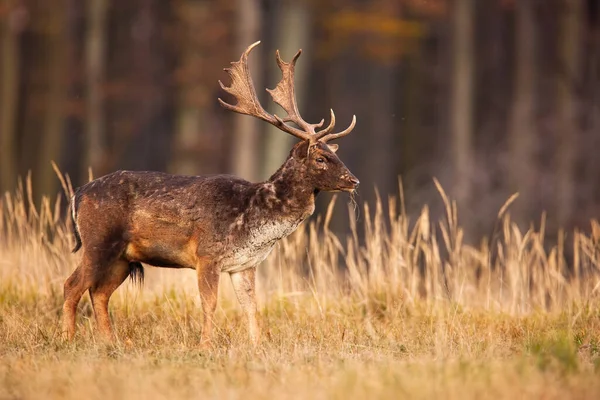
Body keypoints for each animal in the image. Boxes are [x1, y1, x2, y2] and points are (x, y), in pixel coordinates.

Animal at [63, 41, 358, 346]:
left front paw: (256, 345)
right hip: (98, 240)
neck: (253, 218)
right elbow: (210, 303)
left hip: (122, 257)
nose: (354, 180)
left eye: (333, 154)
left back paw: (110, 342)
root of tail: (78, 193)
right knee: (72, 285)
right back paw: (67, 339)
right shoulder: (207, 254)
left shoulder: (244, 265)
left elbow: (251, 306)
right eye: (320, 158)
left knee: (99, 292)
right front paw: (205, 345)